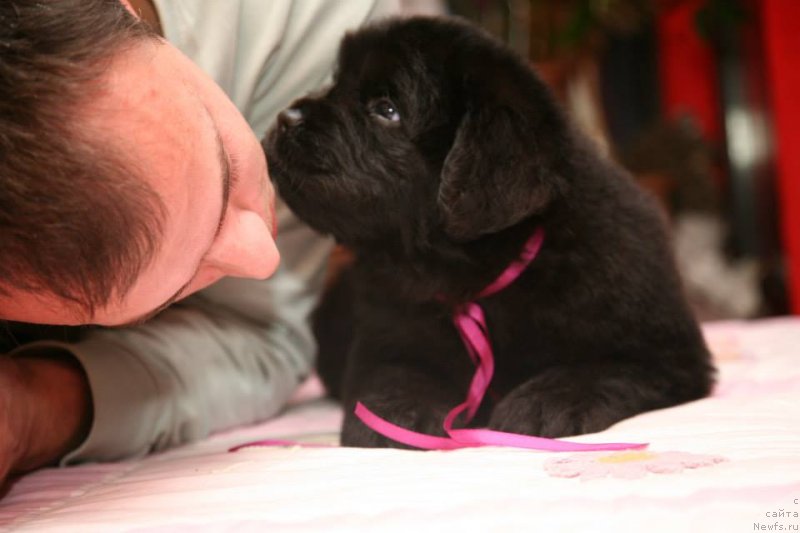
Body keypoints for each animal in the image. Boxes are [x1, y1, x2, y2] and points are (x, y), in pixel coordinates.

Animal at [266, 16, 716, 446]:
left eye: (386, 108)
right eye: (336, 79)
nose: (286, 116)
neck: (477, 278)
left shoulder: (667, 354)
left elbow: (602, 369)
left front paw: (544, 403)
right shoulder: (387, 331)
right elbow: (393, 373)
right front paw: (397, 413)